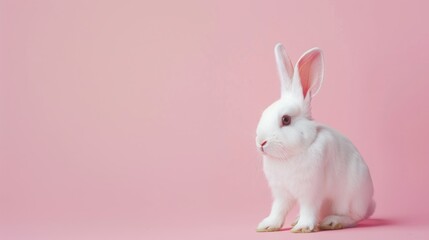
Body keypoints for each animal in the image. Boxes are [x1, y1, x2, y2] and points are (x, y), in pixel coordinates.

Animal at [256, 43, 372, 232]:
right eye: (264, 113)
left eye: (286, 119)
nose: (261, 143)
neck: (290, 156)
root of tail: (370, 204)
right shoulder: (281, 193)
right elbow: (278, 209)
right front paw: (267, 226)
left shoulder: (311, 191)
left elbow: (308, 208)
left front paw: (303, 227)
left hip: (349, 198)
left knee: (353, 217)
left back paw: (331, 222)